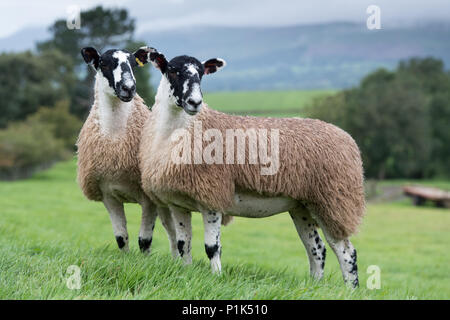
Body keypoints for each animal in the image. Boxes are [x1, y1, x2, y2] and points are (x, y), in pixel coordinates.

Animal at [76, 47, 177, 256]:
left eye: (133, 64)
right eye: (103, 63)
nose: (129, 88)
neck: (116, 141)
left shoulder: (148, 199)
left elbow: (144, 240)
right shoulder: (109, 196)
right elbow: (121, 238)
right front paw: (125, 259)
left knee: (175, 233)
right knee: (172, 232)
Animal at [138, 47, 366, 288]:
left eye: (201, 74)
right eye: (172, 70)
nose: (195, 102)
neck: (178, 131)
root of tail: (348, 139)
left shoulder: (213, 196)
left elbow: (212, 248)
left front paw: (216, 279)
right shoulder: (177, 202)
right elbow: (184, 245)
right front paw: (186, 273)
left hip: (334, 200)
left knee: (346, 252)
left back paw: (350, 290)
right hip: (302, 206)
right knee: (317, 249)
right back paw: (314, 287)